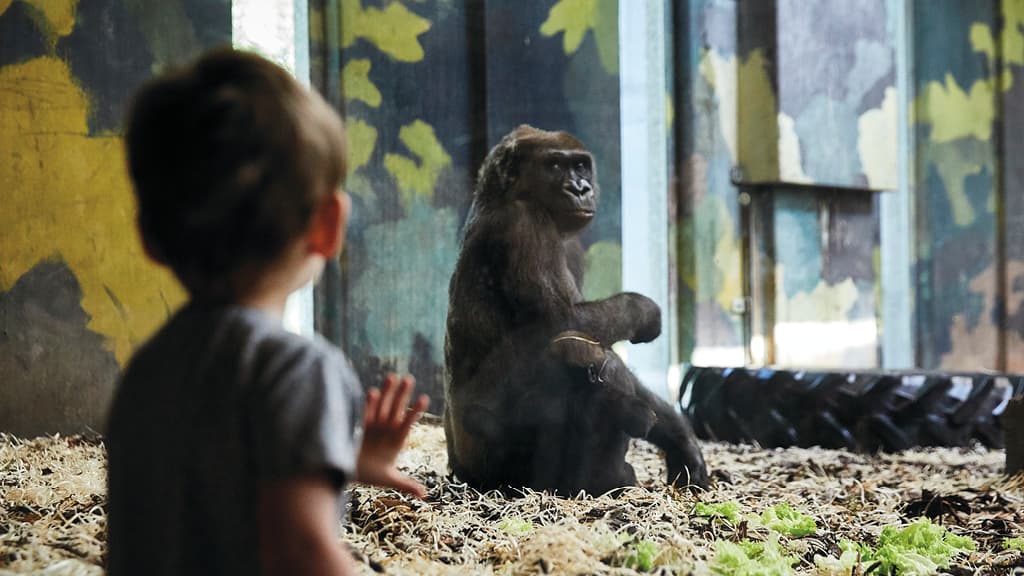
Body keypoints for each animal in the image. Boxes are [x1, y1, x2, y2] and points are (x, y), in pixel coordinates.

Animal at [443, 125, 708, 495]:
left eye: (581, 166)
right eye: (555, 165)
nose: (580, 188)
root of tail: (460, 470)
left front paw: (680, 439)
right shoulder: (524, 224)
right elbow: (563, 322)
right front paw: (643, 310)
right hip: (497, 471)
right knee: (578, 350)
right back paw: (603, 478)